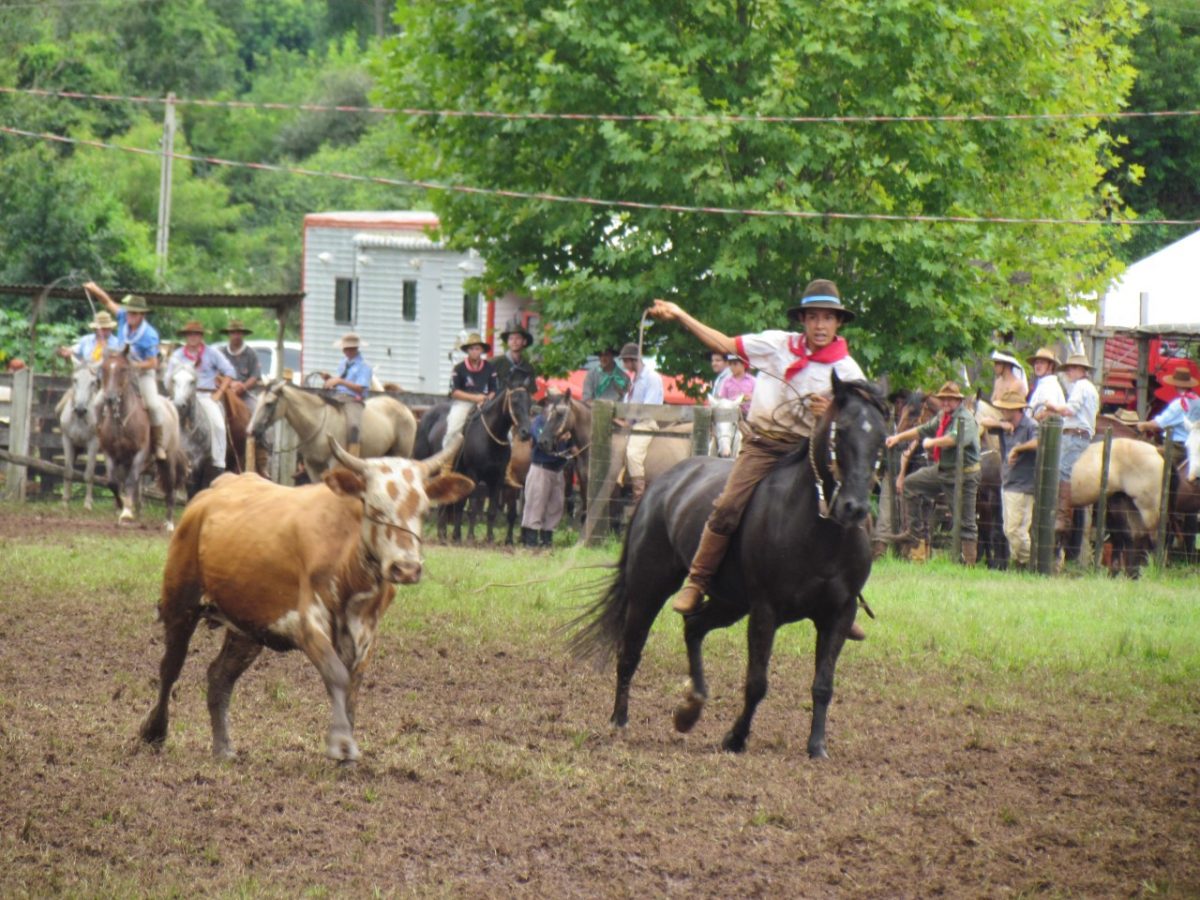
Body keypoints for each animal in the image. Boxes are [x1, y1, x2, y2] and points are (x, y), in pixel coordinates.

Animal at [96, 350, 186, 535]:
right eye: (104, 368)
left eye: (123, 369)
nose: (110, 398)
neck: (121, 421)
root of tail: (170, 405)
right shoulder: (110, 454)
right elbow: (113, 483)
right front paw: (122, 506)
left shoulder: (139, 453)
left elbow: (130, 481)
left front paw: (126, 513)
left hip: (169, 459)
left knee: (171, 489)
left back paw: (169, 523)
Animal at [247, 379, 417, 480]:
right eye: (258, 401)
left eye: (269, 403)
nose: (251, 431)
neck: (319, 426)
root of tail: (406, 409)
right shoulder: (312, 466)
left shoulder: (335, 464)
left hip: (400, 454)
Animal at [412, 386, 530, 542]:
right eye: (515, 401)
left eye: (529, 402)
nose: (526, 432)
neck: (489, 439)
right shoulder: (474, 475)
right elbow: (472, 508)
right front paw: (470, 536)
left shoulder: (497, 479)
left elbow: (490, 510)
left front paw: (488, 538)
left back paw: (444, 533)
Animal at [571, 374, 892, 763]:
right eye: (841, 431)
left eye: (881, 436)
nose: (854, 508)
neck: (819, 530)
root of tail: (660, 485)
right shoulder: (765, 610)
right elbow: (757, 682)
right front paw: (735, 738)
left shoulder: (838, 614)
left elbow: (823, 684)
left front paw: (817, 746)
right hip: (649, 586)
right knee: (631, 650)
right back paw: (619, 720)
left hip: (730, 603)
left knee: (693, 626)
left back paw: (690, 708)